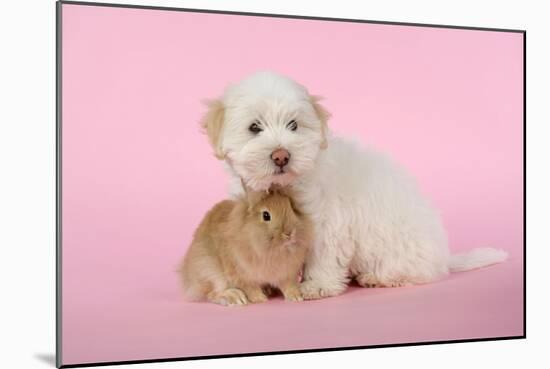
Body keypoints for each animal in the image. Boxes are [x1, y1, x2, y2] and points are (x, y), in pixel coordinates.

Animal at [179, 184, 312, 304]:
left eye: (291, 209)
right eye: (266, 215)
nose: (289, 233)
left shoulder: (286, 273)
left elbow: (288, 285)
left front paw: (296, 297)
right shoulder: (241, 274)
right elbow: (250, 288)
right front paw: (259, 299)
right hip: (209, 270)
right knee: (213, 293)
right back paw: (235, 297)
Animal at [201, 70, 512, 298]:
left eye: (294, 125)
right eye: (254, 127)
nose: (281, 155)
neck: (286, 184)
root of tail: (444, 257)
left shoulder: (325, 222)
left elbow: (322, 255)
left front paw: (317, 286)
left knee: (412, 272)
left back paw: (379, 278)